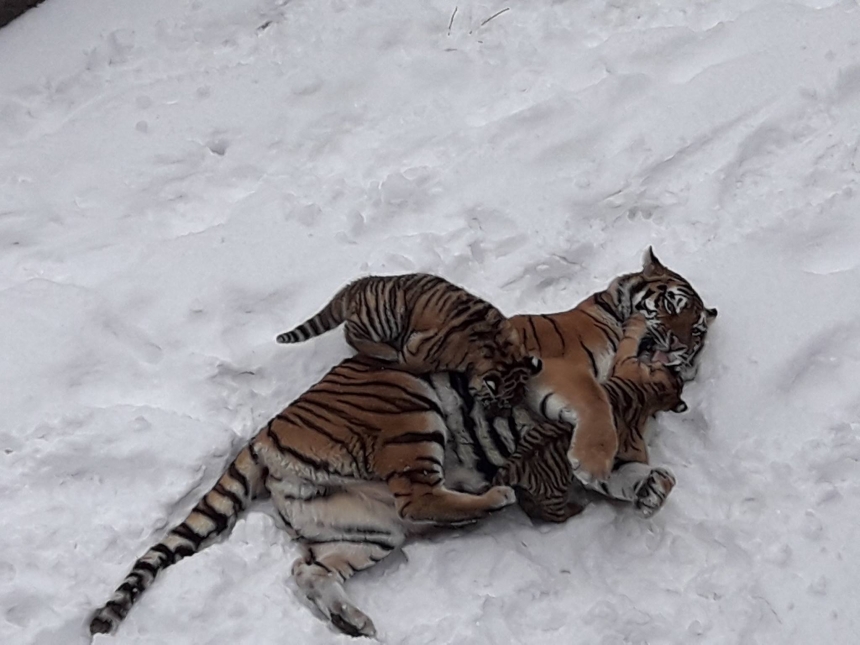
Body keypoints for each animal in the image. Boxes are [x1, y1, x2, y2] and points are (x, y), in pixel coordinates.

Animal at [278, 270, 544, 416]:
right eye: (500, 401)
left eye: (513, 404)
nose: (498, 417)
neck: (501, 352)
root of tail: (356, 284)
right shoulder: (419, 353)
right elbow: (410, 362)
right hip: (386, 313)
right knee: (350, 332)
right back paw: (385, 351)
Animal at [510, 247, 720, 484]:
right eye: (671, 305)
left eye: (696, 330)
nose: (680, 345)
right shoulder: (560, 365)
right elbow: (596, 398)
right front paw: (593, 462)